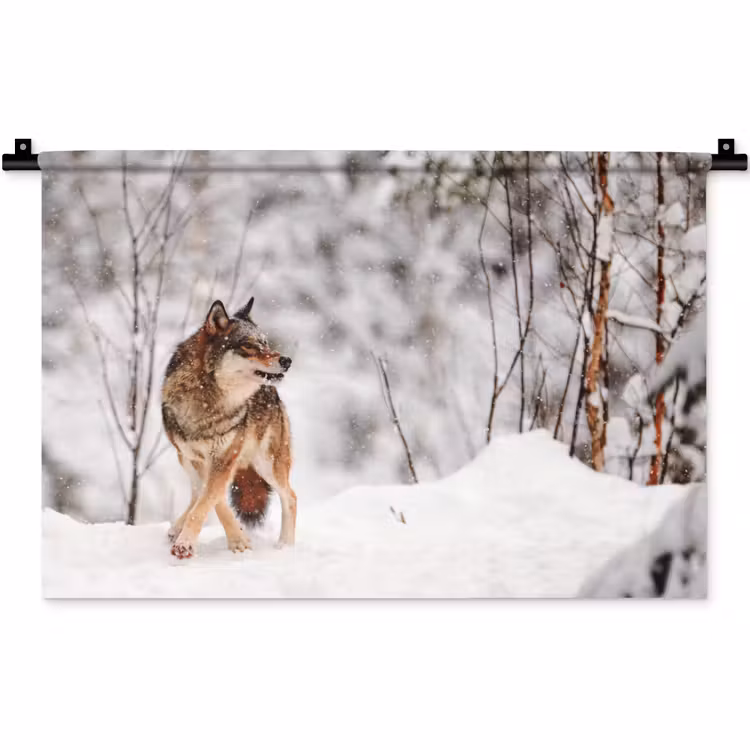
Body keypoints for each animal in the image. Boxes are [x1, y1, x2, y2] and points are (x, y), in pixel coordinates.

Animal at [161, 296, 296, 559]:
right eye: (250, 346)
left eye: (266, 343)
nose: (286, 360)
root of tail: (274, 394)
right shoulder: (198, 459)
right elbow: (212, 499)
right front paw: (237, 539)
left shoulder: (224, 458)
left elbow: (208, 500)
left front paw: (188, 543)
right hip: (185, 459)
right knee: (196, 491)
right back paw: (176, 527)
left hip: (268, 464)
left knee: (291, 497)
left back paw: (286, 545)